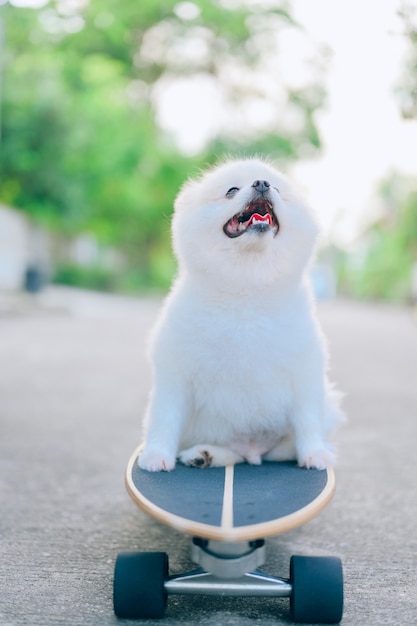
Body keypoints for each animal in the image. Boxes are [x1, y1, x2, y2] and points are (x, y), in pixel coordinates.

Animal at [139, 158, 342, 470]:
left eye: (278, 189)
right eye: (231, 190)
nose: (262, 183)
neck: (246, 288)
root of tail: (252, 450)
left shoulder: (304, 372)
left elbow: (308, 422)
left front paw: (315, 453)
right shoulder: (175, 372)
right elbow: (165, 418)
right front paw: (156, 455)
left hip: (326, 404)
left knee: (280, 449)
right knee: (233, 454)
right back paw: (204, 454)